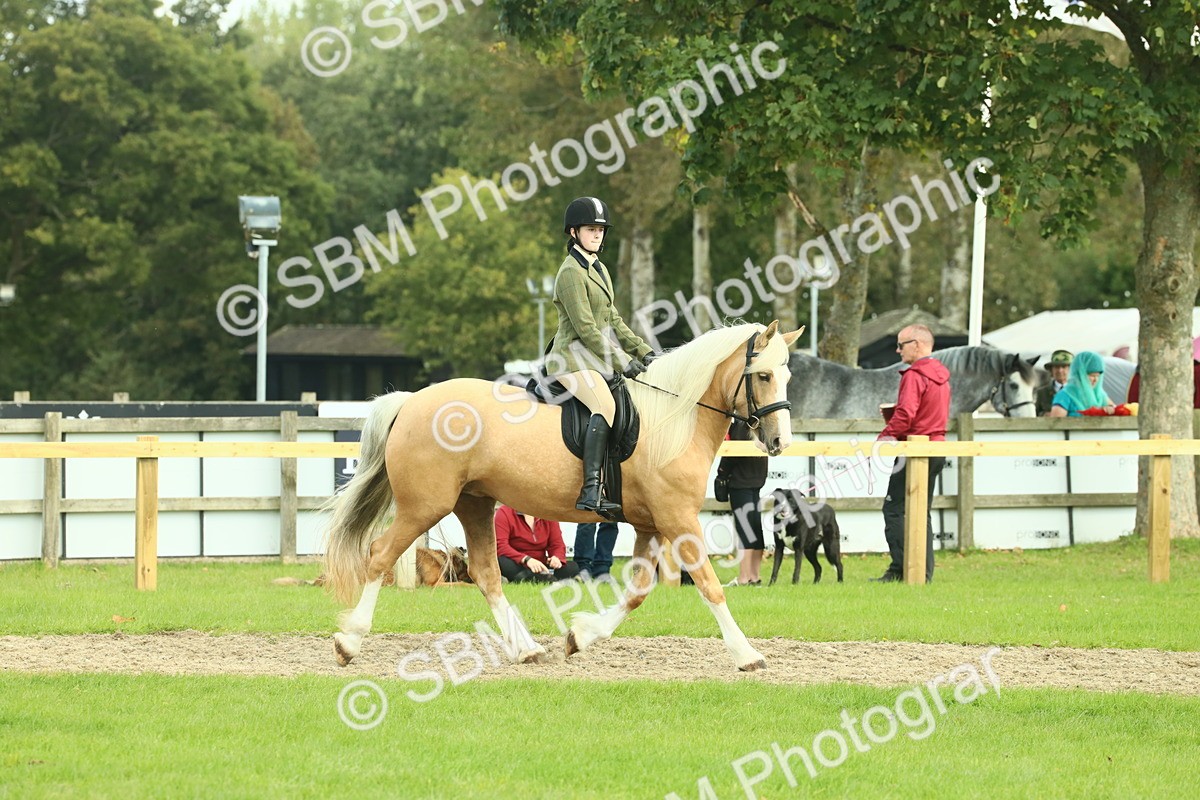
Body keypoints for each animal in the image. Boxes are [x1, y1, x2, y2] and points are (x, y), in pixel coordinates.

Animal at [323, 321, 804, 672]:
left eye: (787, 376)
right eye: (762, 376)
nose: (780, 441)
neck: (673, 416)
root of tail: (411, 401)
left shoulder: (650, 524)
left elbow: (637, 592)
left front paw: (580, 636)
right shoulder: (678, 519)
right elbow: (709, 586)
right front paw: (747, 655)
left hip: (474, 503)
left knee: (485, 573)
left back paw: (526, 649)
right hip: (425, 506)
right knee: (380, 555)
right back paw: (349, 642)